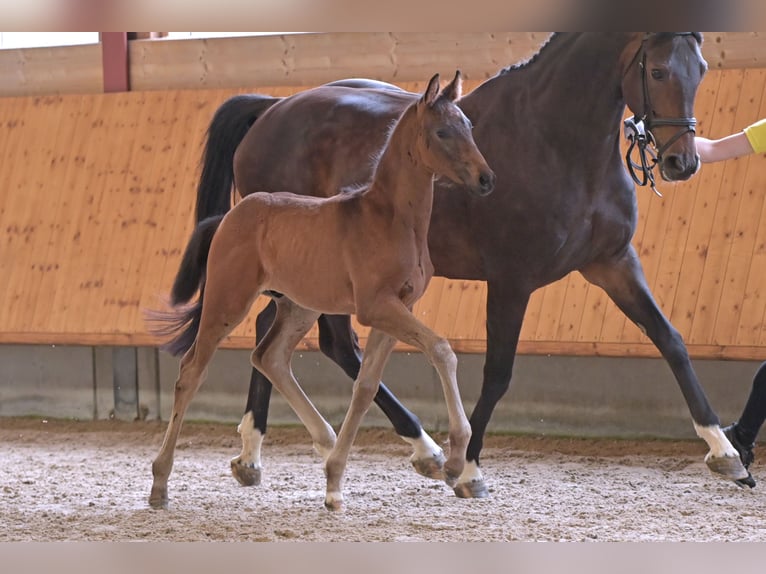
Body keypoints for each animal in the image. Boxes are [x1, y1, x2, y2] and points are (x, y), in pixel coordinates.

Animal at [150, 73, 498, 512]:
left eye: (468, 126)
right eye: (442, 132)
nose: (486, 179)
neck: (389, 218)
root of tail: (230, 216)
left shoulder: (396, 308)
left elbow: (365, 386)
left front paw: (334, 483)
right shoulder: (376, 307)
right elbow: (441, 349)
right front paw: (454, 461)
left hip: (299, 306)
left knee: (270, 357)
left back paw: (321, 442)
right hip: (227, 301)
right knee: (192, 370)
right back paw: (160, 484)